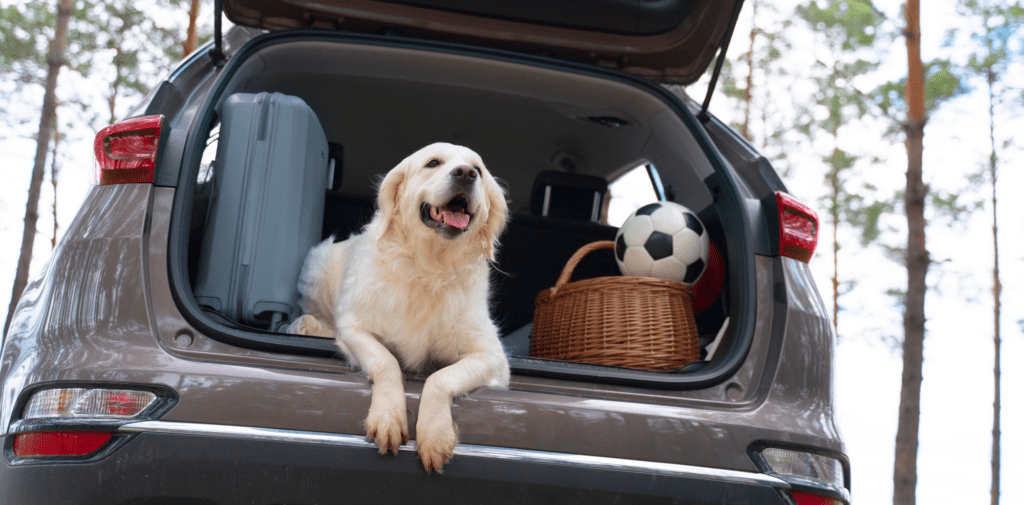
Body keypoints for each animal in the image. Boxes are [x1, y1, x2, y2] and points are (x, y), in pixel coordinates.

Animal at [286, 142, 509, 473]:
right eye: (433, 163)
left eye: (478, 171)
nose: (465, 174)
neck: (430, 268)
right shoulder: (354, 326)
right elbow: (386, 361)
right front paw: (388, 418)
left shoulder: (493, 357)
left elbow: (440, 377)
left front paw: (435, 434)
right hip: (318, 264)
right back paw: (309, 326)